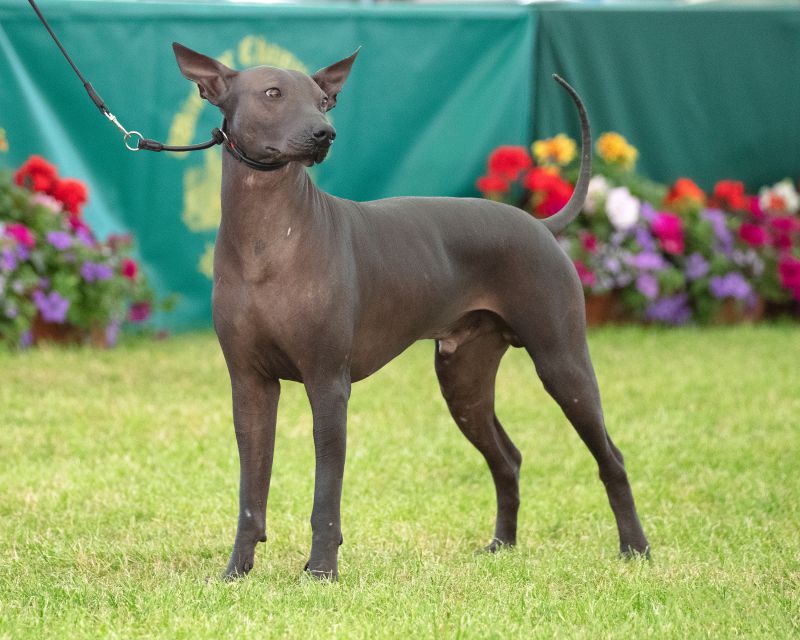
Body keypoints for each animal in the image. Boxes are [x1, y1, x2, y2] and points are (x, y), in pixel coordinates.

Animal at [172, 40, 648, 580]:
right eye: (273, 93)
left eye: (322, 101)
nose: (325, 133)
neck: (267, 235)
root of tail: (538, 224)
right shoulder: (249, 386)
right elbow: (250, 493)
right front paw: (236, 570)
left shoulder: (327, 383)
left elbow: (325, 495)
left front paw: (321, 571)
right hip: (463, 381)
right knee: (508, 458)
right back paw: (501, 546)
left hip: (562, 362)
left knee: (611, 457)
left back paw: (635, 548)